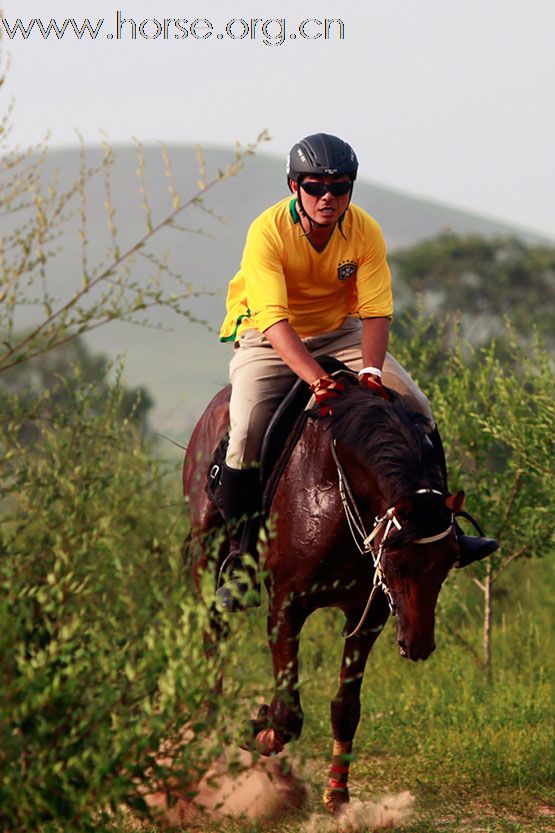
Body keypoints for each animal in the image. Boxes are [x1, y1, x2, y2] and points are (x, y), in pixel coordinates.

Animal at [184, 382, 464, 812]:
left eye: (448, 561)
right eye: (397, 562)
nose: (417, 644)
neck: (338, 490)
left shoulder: (368, 615)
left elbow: (345, 707)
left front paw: (337, 795)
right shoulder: (286, 606)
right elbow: (288, 715)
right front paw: (256, 728)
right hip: (207, 558)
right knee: (214, 645)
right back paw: (211, 741)